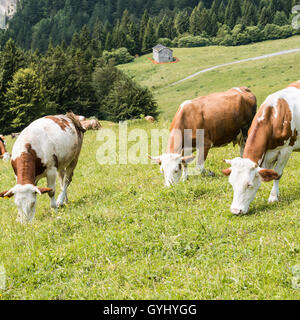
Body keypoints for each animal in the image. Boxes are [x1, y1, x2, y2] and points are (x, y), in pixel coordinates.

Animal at [223, 80, 300, 215]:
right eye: (232, 183)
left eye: (249, 184)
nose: (235, 210)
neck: (273, 116)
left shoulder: (286, 149)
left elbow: (277, 173)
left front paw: (273, 197)